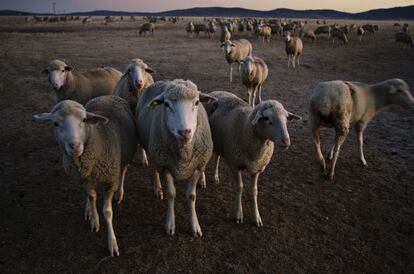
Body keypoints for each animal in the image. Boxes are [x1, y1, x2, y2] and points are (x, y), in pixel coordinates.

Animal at [33, 95, 137, 256]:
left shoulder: (110, 180)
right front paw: (94, 219)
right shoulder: (85, 180)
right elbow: (92, 197)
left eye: (84, 120)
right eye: (55, 123)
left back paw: (119, 193)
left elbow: (107, 212)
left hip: (125, 157)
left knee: (123, 171)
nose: (74, 146)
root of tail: (107, 96)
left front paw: (112, 243)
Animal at [136, 79, 217, 238]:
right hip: (152, 150)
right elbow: (171, 194)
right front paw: (170, 224)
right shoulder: (165, 165)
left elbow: (191, 196)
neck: (183, 153)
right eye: (166, 104)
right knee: (154, 170)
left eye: (197, 102)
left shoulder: (198, 165)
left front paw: (194, 226)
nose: (184, 132)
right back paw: (157, 189)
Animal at [204, 91, 300, 226]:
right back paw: (202, 180)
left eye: (286, 119)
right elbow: (239, 187)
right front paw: (238, 215)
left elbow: (254, 191)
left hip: (218, 143)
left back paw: (215, 176)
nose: (286, 141)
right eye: (267, 118)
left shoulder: (257, 167)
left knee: (217, 157)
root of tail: (215, 92)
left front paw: (256, 217)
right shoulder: (235, 164)